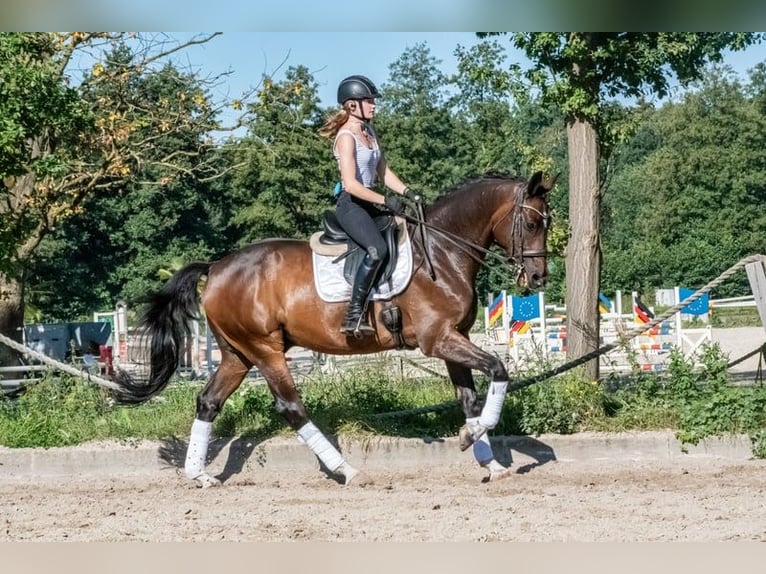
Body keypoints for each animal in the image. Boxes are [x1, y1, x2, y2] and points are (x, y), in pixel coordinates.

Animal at [114, 171, 556, 486]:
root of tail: (217, 267)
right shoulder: (439, 340)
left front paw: (487, 459)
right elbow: (499, 368)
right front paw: (475, 438)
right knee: (291, 407)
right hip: (265, 349)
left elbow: (468, 398)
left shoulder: (454, 339)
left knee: (208, 401)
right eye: (532, 223)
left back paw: (199, 474)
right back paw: (346, 470)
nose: (537, 278)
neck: (443, 252)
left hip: (237, 354)